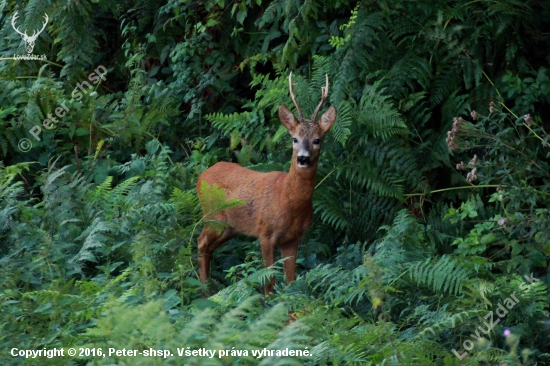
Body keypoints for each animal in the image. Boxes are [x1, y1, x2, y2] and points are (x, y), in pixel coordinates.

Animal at [198, 73, 336, 294]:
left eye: (317, 140)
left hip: (229, 227)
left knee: (208, 248)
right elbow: (269, 280)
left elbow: (291, 281)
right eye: (294, 139)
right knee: (201, 242)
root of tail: (201, 175)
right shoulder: (265, 233)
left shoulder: (293, 239)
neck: (288, 201)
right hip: (212, 217)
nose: (303, 158)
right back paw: (205, 289)